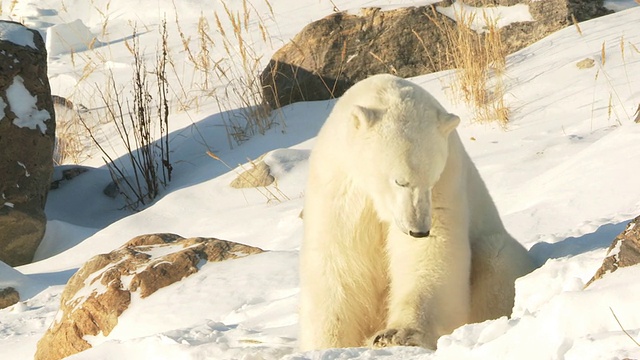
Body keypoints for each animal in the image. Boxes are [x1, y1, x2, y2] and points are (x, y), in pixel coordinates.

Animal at [298, 74, 536, 350]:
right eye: (400, 181)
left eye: (431, 181)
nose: (419, 230)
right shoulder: (339, 186)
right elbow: (339, 262)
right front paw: (328, 344)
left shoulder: (448, 179)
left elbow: (429, 254)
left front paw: (397, 334)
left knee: (496, 258)